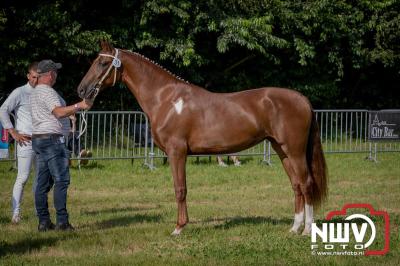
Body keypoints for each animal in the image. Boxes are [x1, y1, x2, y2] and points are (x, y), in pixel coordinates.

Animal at [76, 41, 326, 235]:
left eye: (103, 63)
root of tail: (303, 99)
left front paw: (179, 227)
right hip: (281, 150)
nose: (82, 90)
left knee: (306, 183)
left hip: (294, 151)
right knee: (296, 185)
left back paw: (306, 230)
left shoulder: (177, 152)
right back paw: (294, 228)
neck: (166, 99)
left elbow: (180, 189)